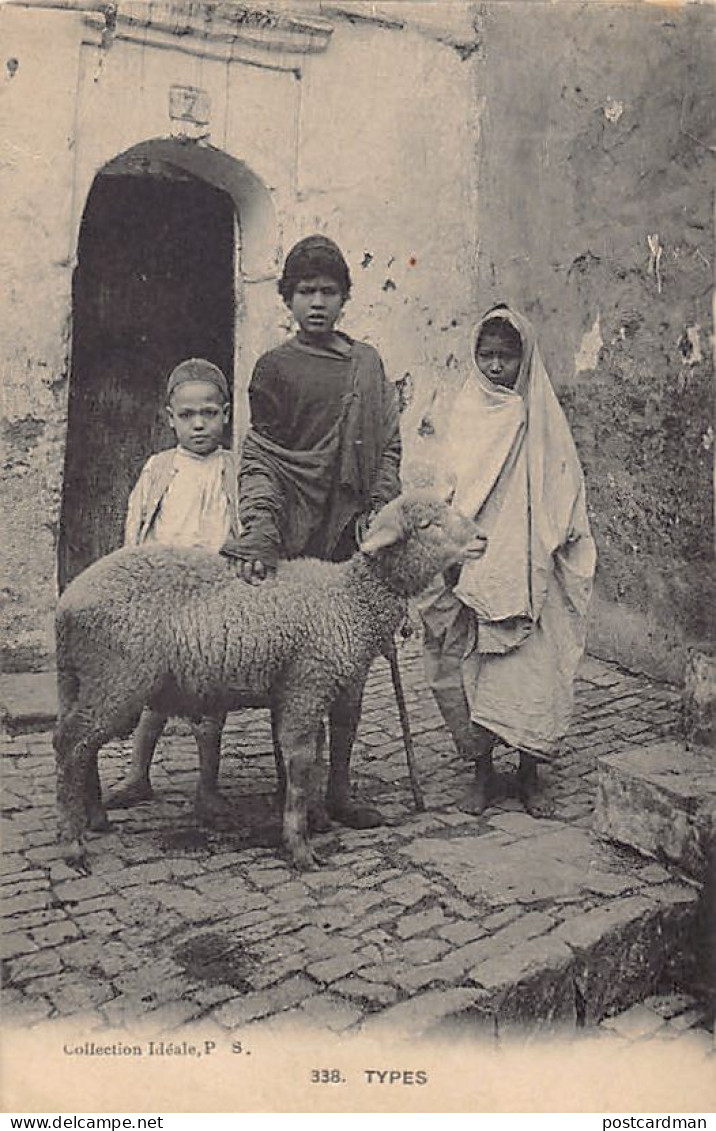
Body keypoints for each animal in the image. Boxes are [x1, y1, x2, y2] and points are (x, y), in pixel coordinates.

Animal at [54, 489, 486, 871]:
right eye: (427, 524)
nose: (481, 537)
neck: (350, 598)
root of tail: (67, 602)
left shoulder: (323, 687)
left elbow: (321, 753)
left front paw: (318, 817)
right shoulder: (306, 687)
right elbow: (300, 763)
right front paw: (299, 845)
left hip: (80, 680)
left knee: (80, 745)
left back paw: (94, 819)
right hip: (117, 678)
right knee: (71, 743)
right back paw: (73, 843)